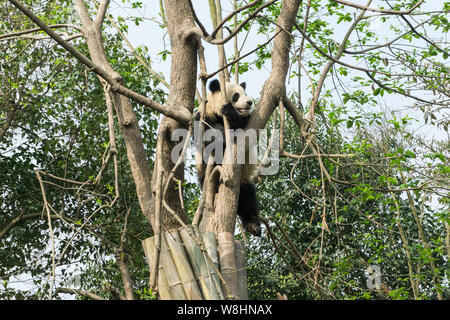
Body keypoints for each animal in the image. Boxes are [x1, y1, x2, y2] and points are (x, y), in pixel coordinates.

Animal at [195, 79, 262, 236]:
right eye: (236, 95)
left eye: (245, 93)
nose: (249, 102)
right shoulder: (203, 118)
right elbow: (208, 137)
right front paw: (221, 137)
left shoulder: (248, 120)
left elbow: (244, 127)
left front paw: (230, 113)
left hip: (243, 180)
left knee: (248, 200)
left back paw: (253, 225)